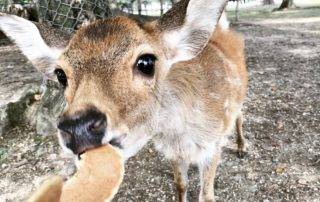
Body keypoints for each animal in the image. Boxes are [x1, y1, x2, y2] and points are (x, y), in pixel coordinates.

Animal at [0, 0, 248, 200]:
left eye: (146, 62)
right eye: (61, 75)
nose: (78, 127)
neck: (179, 133)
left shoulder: (213, 145)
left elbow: (207, 195)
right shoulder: (174, 152)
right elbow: (180, 185)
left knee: (240, 115)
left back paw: (242, 148)